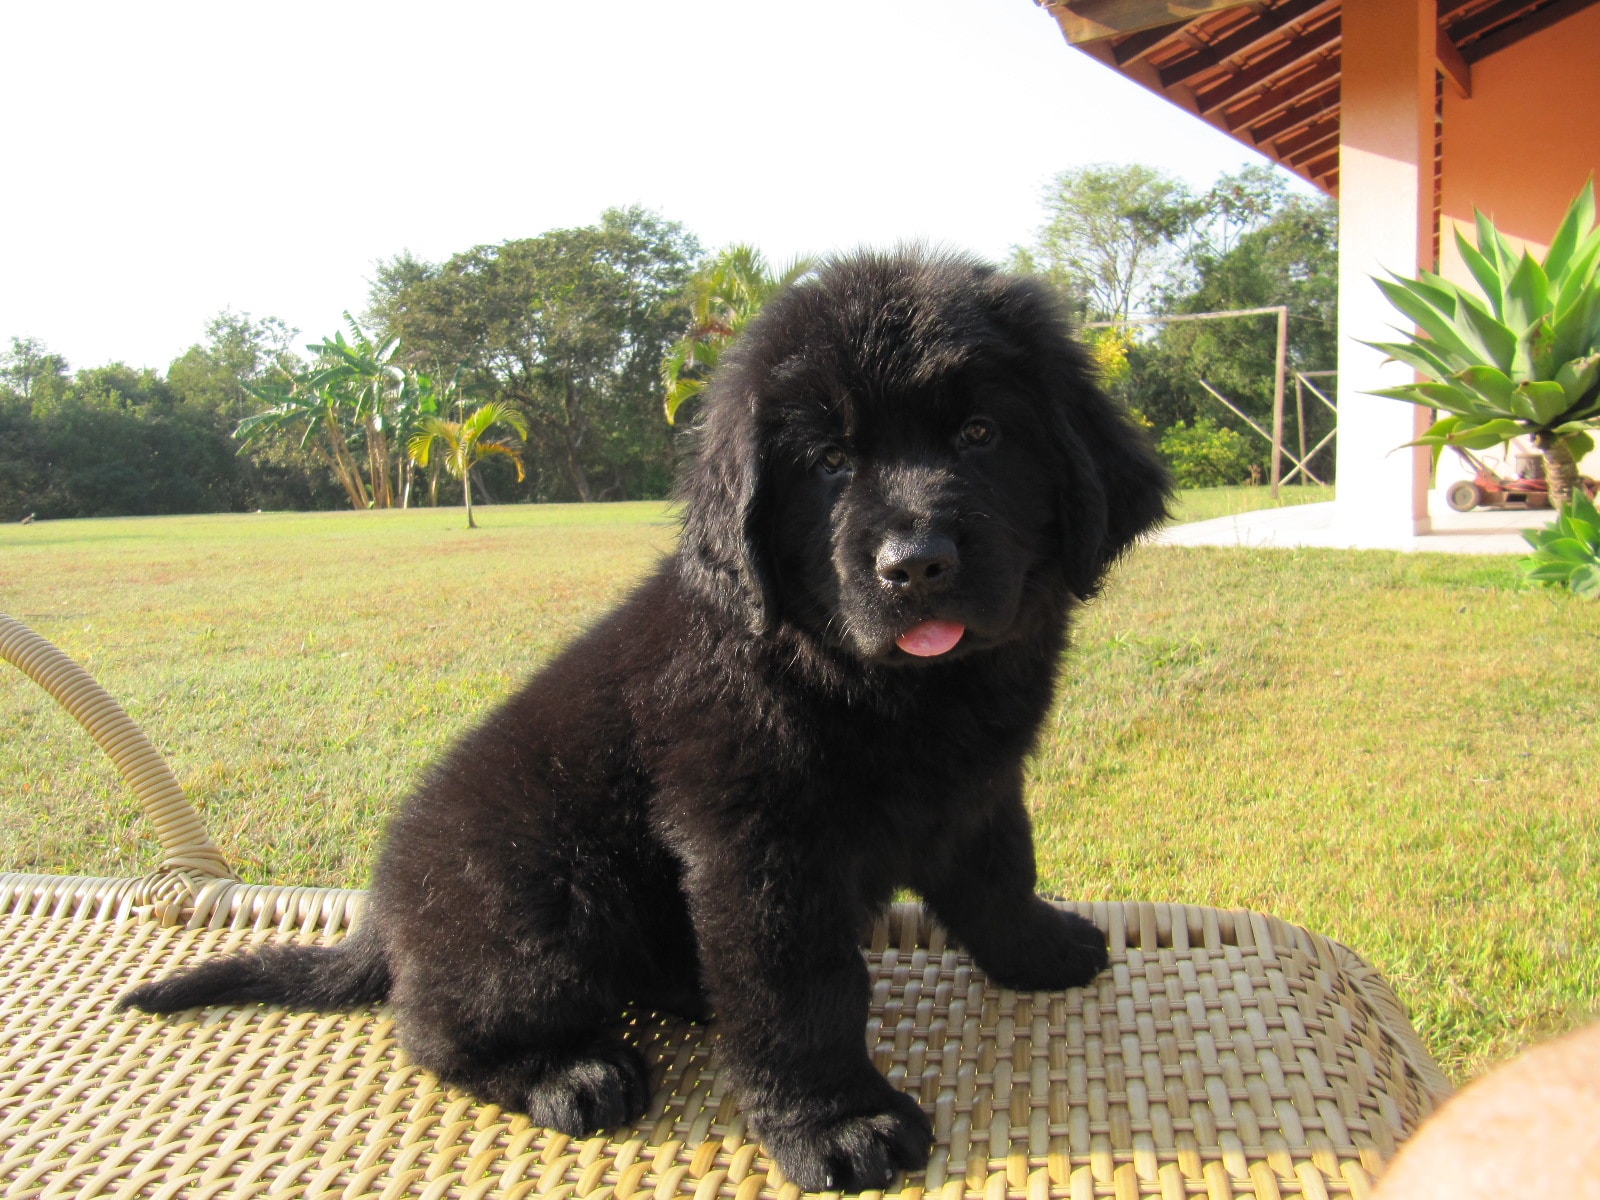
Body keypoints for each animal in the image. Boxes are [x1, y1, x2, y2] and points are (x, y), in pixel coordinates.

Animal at [124, 251, 1171, 1196]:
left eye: (982, 432)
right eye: (829, 463)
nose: (914, 563)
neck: (886, 683)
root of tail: (384, 920)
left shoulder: (978, 786)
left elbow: (999, 872)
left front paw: (1040, 949)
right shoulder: (757, 848)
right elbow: (802, 993)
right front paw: (836, 1124)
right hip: (541, 901)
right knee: (432, 1028)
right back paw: (570, 1073)